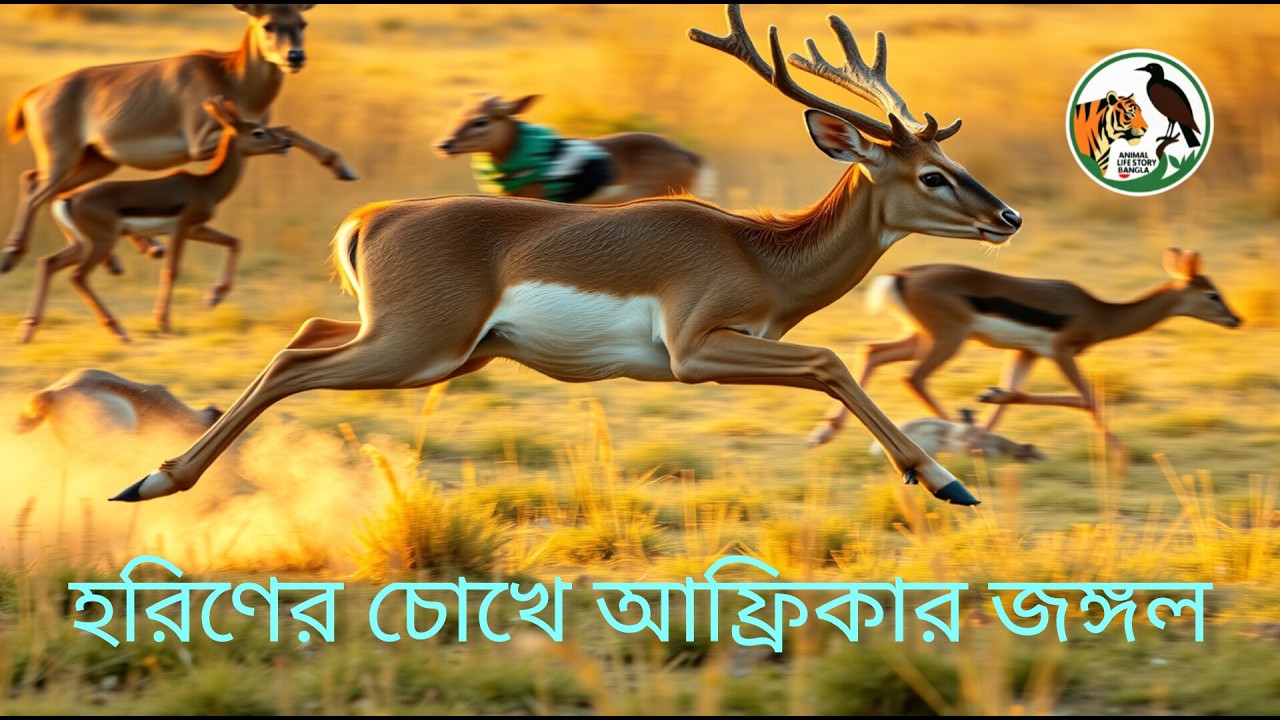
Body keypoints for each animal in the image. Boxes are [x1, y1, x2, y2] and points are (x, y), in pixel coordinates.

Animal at [2, 3, 357, 275]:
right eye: (268, 23)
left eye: (301, 22)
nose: (295, 57)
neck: (231, 76)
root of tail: (33, 94)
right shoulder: (202, 144)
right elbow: (287, 129)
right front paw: (342, 167)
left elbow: (287, 130)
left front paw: (342, 168)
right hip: (63, 158)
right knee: (36, 189)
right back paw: (12, 255)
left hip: (98, 161)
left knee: (47, 187)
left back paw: (138, 251)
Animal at [18, 98, 294, 344]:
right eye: (258, 132)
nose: (286, 141)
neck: (205, 186)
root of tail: (68, 199)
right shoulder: (181, 229)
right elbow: (171, 270)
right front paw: (164, 324)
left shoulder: (196, 228)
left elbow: (234, 242)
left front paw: (213, 298)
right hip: (102, 242)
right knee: (77, 276)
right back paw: (120, 332)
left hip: (82, 244)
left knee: (48, 263)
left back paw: (29, 331)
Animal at [807, 248, 1243, 450]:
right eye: (1211, 294)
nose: (1236, 320)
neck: (1098, 312)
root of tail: (902, 275)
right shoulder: (1063, 352)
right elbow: (1087, 398)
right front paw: (1119, 452)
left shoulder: (1026, 353)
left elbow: (1011, 396)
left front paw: (990, 415)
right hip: (947, 341)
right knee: (911, 377)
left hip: (921, 339)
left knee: (872, 352)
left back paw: (824, 433)